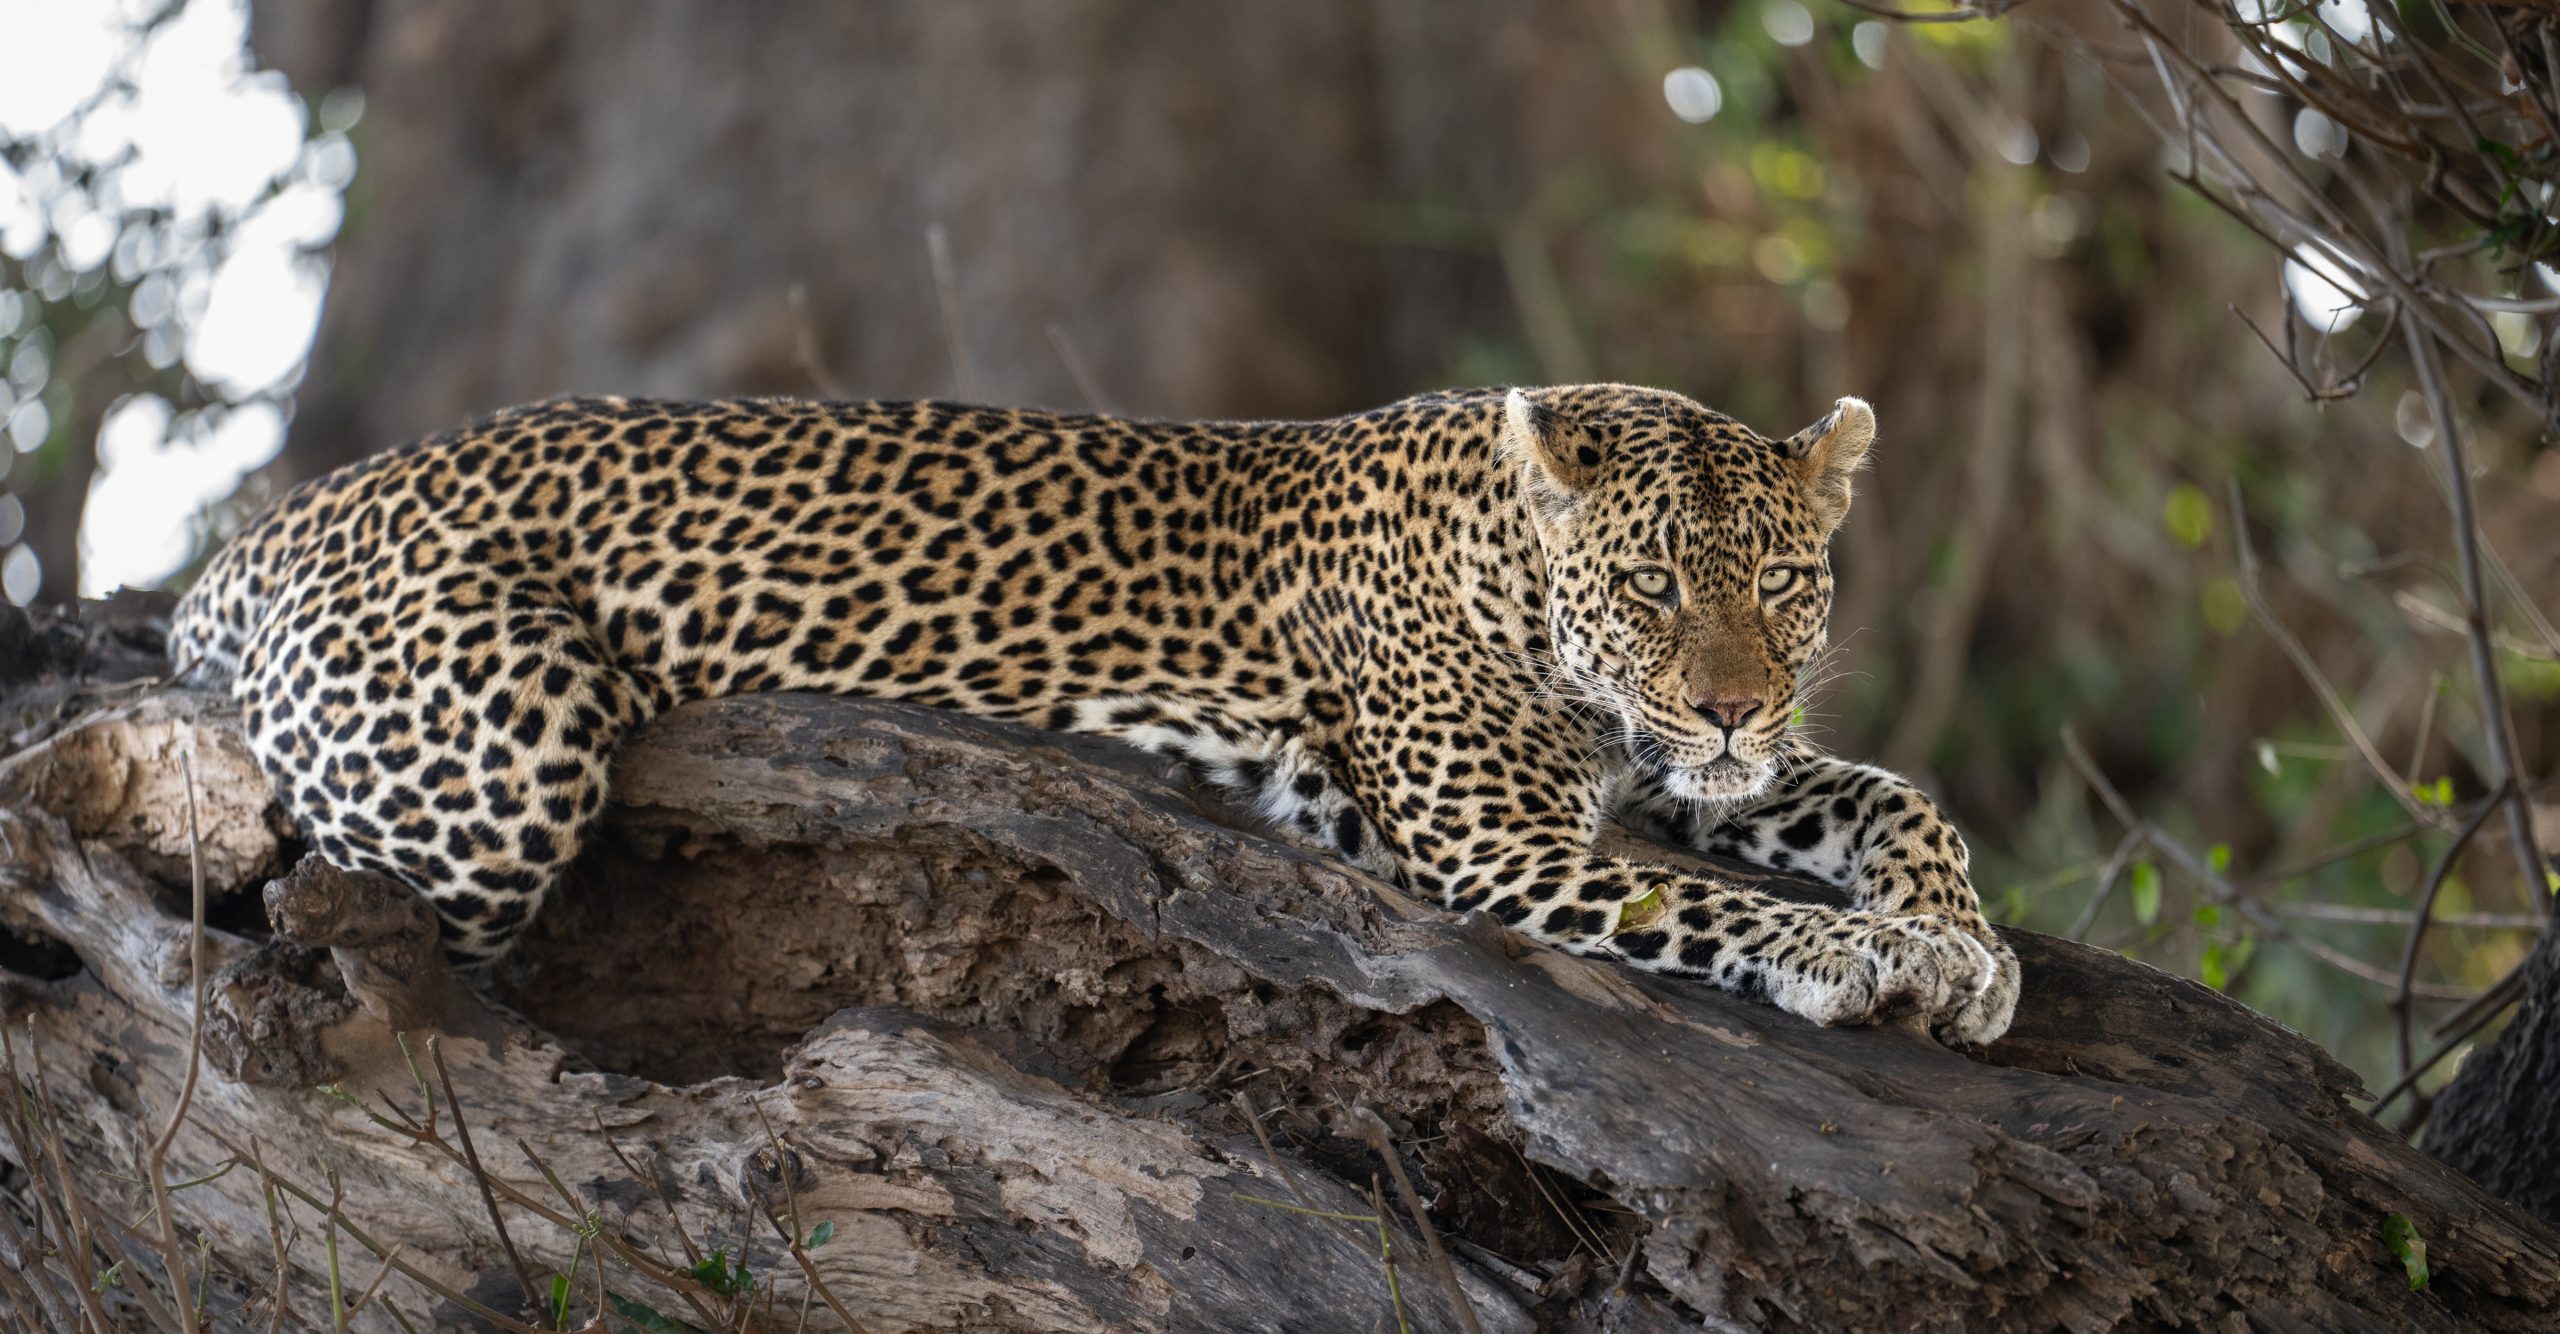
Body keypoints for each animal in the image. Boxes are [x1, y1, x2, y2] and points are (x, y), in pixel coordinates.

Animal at [170, 384, 2021, 1044]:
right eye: (1646, 583)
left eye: (1779, 582)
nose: (1730, 700)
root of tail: (273, 522)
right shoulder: (1496, 841)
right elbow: (1711, 900)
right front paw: (1875, 953)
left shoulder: (1694, 771)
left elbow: (1892, 794)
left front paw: (1963, 938)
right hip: (504, 750)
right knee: (317, 916)